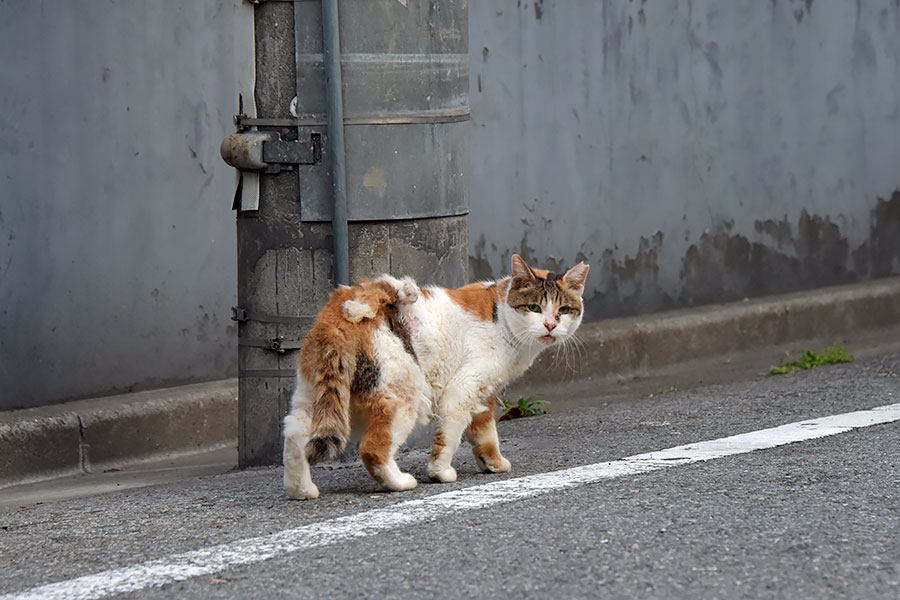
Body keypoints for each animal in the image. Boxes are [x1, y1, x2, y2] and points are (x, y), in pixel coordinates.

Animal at [284, 252, 592, 496]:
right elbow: (449, 436)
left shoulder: (484, 393)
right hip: (405, 396)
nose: (550, 325)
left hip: (316, 396)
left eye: (564, 310)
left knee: (295, 435)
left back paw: (302, 490)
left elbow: (485, 434)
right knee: (372, 448)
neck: (502, 319)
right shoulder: (462, 390)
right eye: (534, 308)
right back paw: (400, 482)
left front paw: (492, 463)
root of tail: (335, 312)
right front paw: (440, 472)